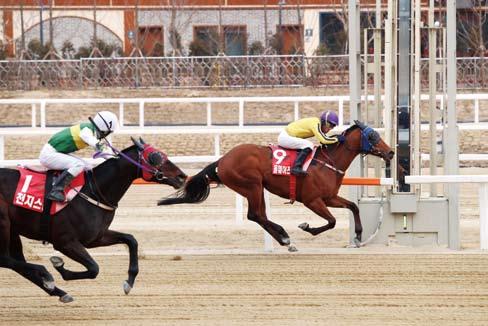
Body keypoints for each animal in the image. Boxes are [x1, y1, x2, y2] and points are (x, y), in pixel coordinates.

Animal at [0, 138, 187, 304]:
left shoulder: (95, 237)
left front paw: (129, 282)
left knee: (16, 263)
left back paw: (59, 291)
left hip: (13, 230)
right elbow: (94, 268)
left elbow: (131, 240)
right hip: (4, 223)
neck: (93, 191)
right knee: (6, 260)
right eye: (155, 156)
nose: (182, 176)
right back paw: (46, 275)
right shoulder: (65, 242)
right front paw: (59, 266)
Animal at [158, 121, 394, 251]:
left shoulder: (329, 198)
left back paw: (284, 239)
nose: (391, 152)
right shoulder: (312, 201)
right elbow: (332, 221)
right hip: (251, 185)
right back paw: (284, 236)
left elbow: (353, 206)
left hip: (257, 187)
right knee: (255, 215)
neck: (328, 162)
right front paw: (307, 227)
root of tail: (222, 160)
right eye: (373, 135)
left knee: (259, 215)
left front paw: (359, 235)